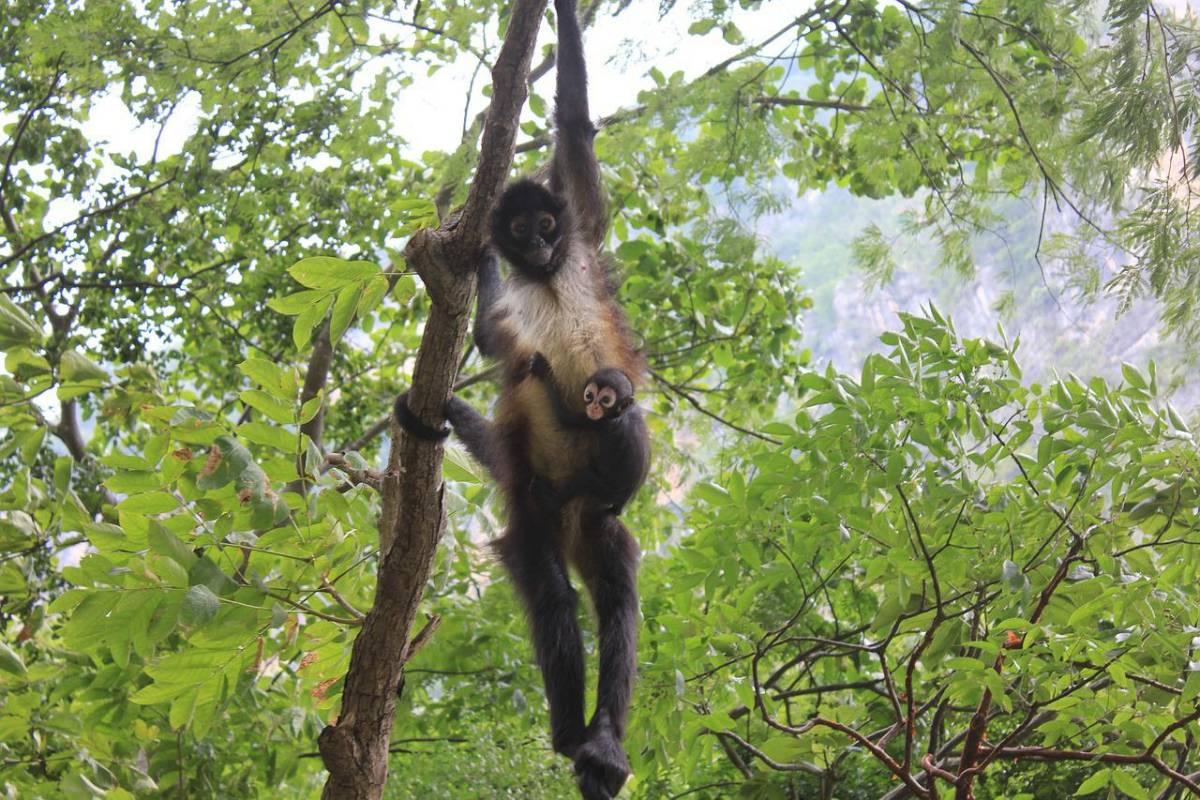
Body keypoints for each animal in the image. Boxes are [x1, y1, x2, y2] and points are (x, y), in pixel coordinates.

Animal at [396, 0, 648, 796]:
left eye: (545, 225)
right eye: (517, 229)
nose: (534, 246)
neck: (543, 279)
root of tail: (567, 514)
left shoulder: (583, 236)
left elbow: (573, 129)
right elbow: (493, 342)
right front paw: (472, 261)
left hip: (591, 518)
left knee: (617, 595)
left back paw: (604, 743)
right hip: (535, 510)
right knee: (555, 598)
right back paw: (572, 736)